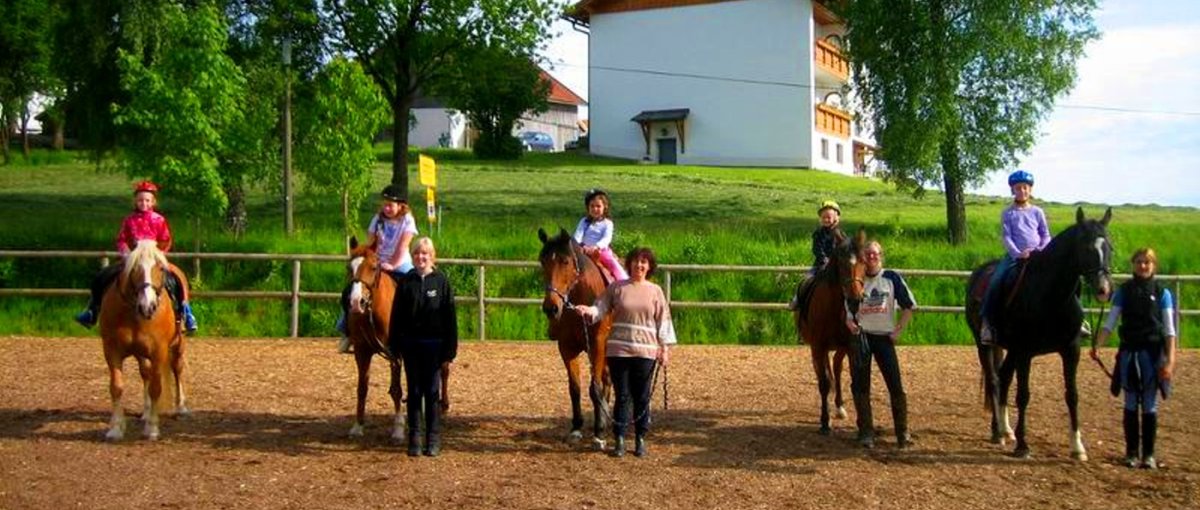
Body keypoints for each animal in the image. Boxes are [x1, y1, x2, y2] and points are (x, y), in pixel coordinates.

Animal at [99, 240, 188, 439]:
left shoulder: (158, 351)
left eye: (160, 268)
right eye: (134, 268)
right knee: (145, 372)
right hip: (141, 353)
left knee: (177, 369)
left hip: (178, 343)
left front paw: (152, 429)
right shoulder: (111, 350)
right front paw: (116, 429)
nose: (148, 306)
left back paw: (181, 408)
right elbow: (116, 387)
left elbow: (156, 387)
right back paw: (146, 411)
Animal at [792, 229, 868, 434]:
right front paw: (825, 423)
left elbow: (853, 381)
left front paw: (860, 423)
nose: (855, 301)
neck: (833, 307)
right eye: (841, 263)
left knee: (836, 367)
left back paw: (840, 407)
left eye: (863, 261)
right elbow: (824, 383)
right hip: (818, 349)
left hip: (839, 348)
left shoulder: (850, 346)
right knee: (823, 372)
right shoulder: (818, 346)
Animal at [964, 205, 1113, 458]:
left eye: (1109, 248)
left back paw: (1005, 430)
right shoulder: (1025, 352)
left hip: (1010, 349)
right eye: (1086, 247)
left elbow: (1072, 395)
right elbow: (1023, 395)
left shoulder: (1071, 350)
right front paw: (1023, 446)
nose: (1104, 290)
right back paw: (998, 433)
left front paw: (1077, 447)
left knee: (1004, 378)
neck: (1051, 297)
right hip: (984, 344)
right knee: (994, 380)